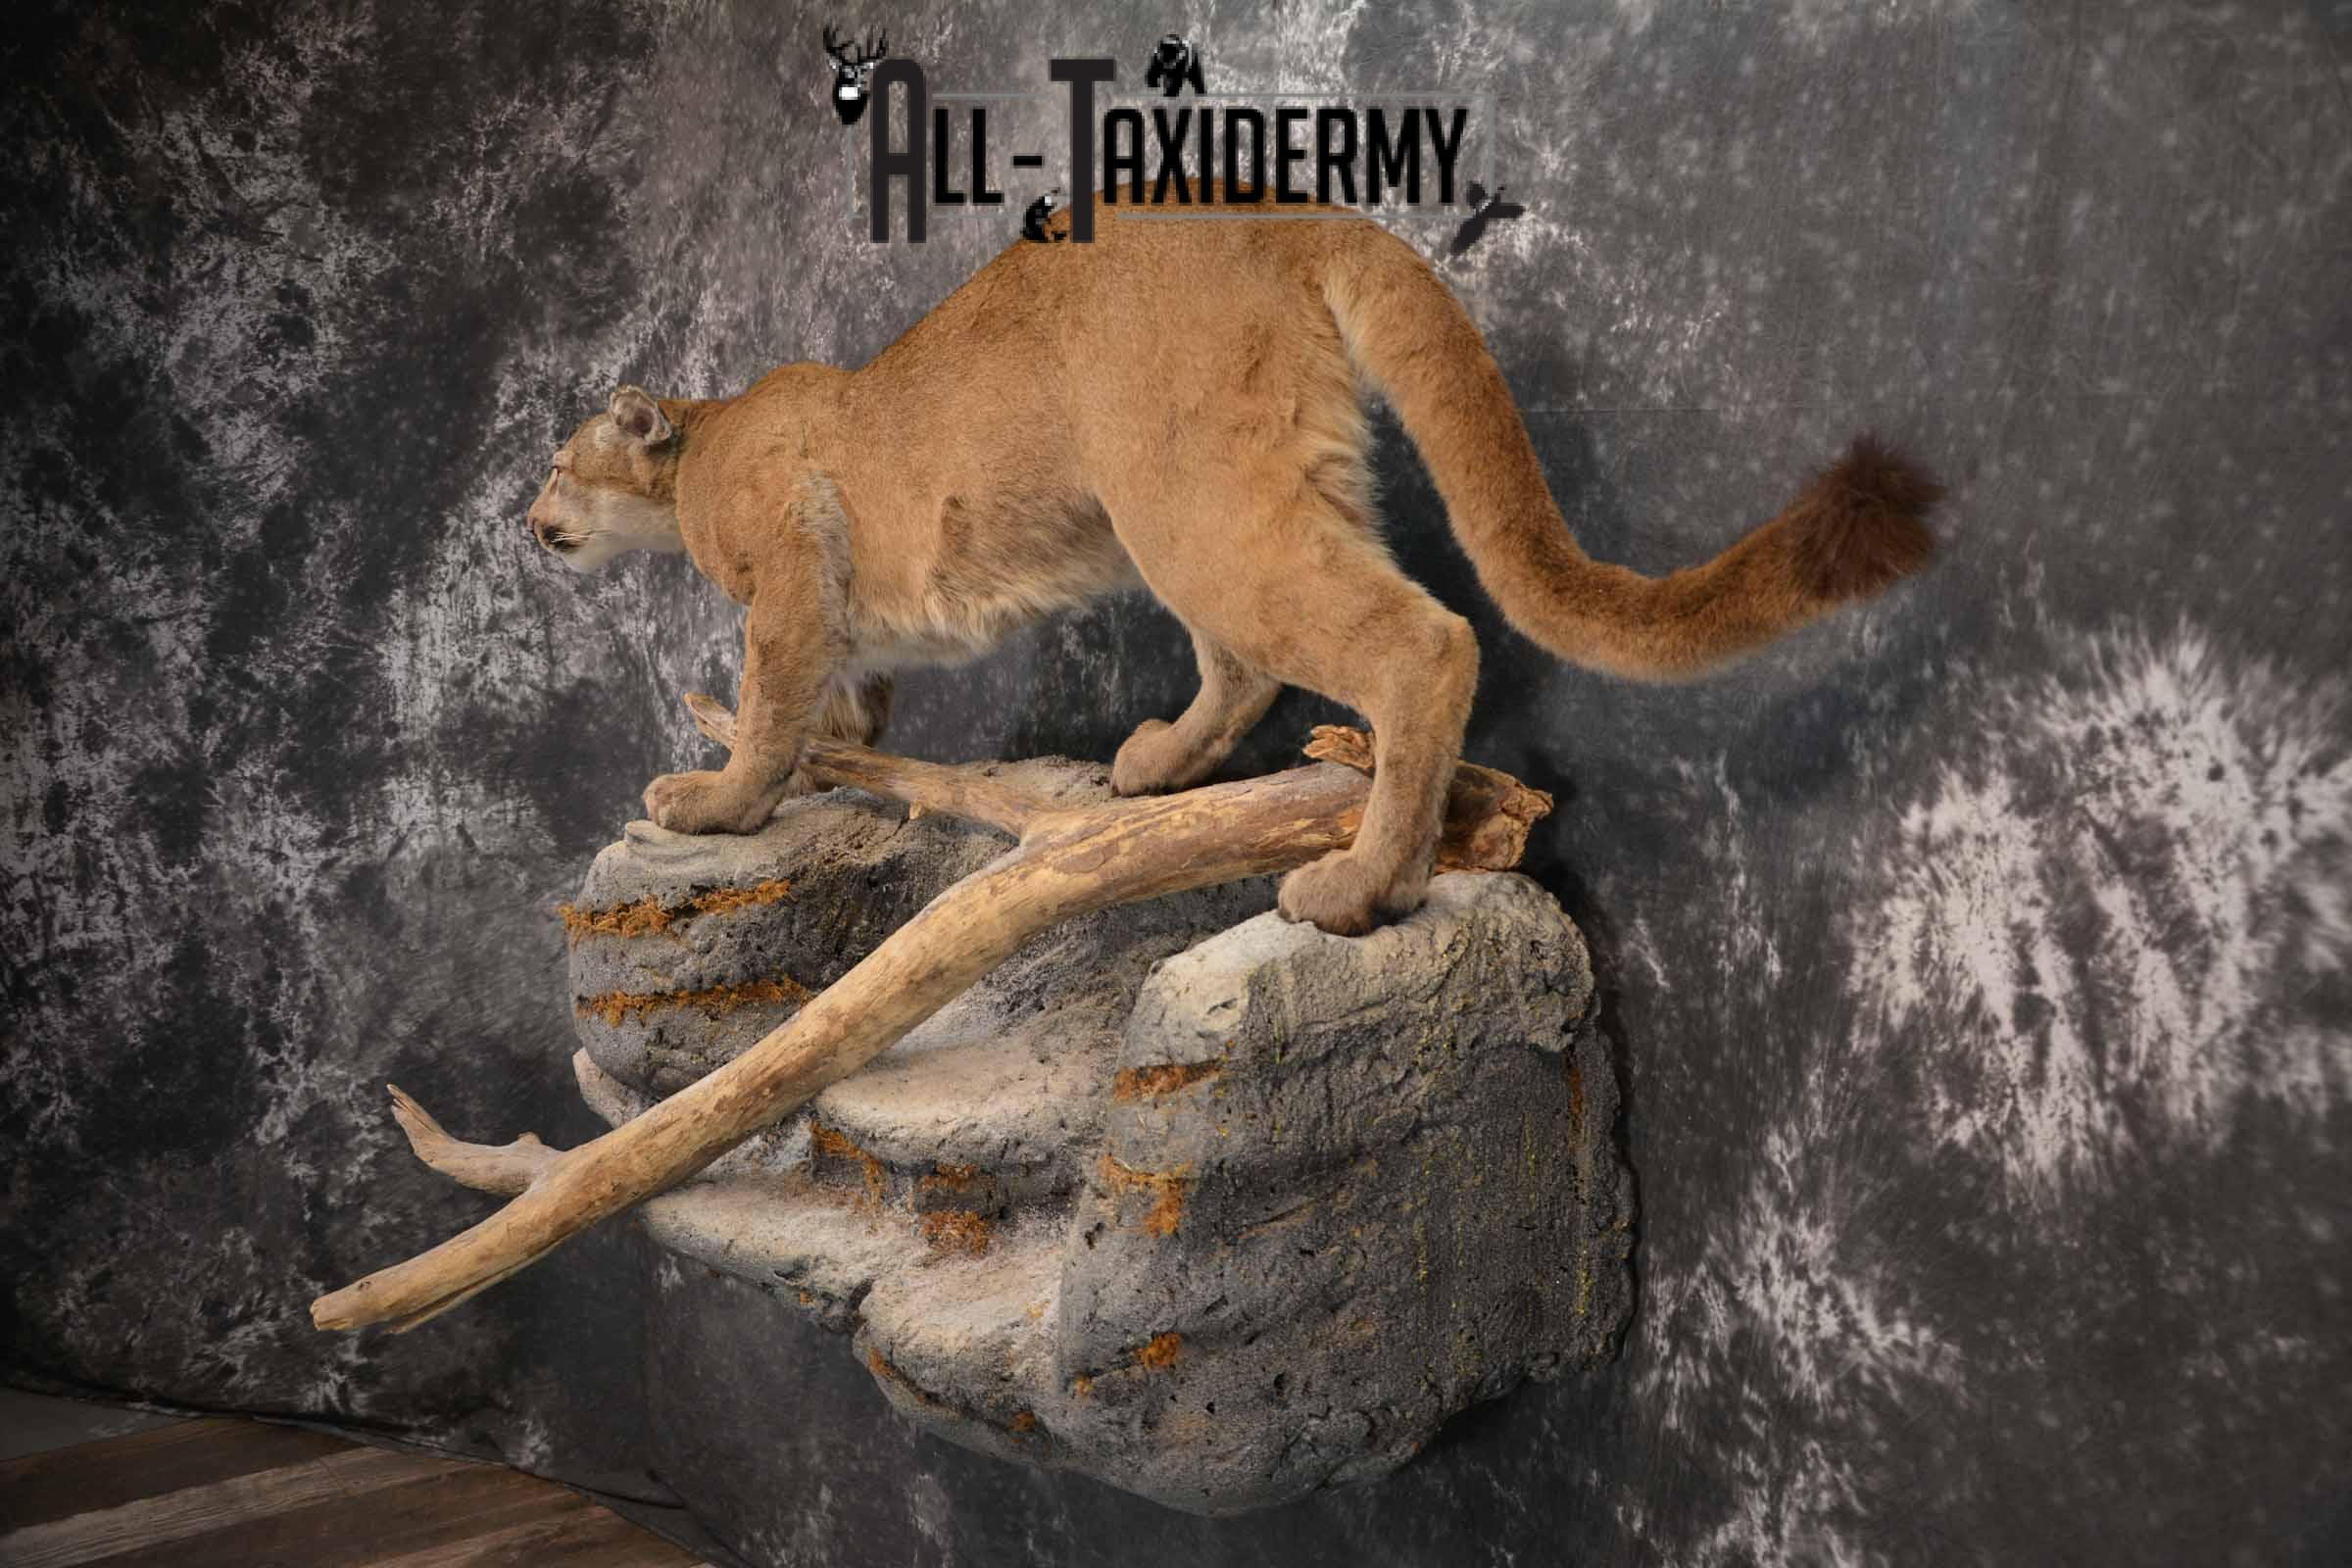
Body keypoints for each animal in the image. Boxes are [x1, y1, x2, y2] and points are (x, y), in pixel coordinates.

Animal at [526, 199, 1938, 935]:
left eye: (553, 463)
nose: (529, 522)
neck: (698, 444)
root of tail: (1291, 208)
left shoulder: (784, 574)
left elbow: (766, 699)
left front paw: (716, 802)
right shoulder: (837, 610)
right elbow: (845, 697)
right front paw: (837, 756)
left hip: (1187, 502)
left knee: (1417, 641)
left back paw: (1364, 884)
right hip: (1220, 500)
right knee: (1254, 661)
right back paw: (1157, 768)